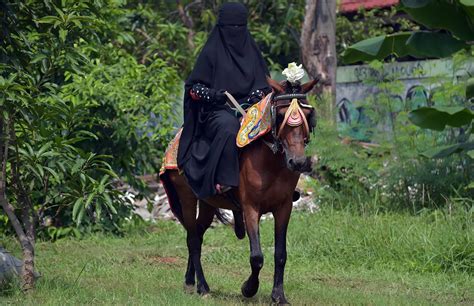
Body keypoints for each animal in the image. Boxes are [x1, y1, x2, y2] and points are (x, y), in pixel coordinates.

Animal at [160, 78, 318, 304]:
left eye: (307, 114)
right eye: (280, 115)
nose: (297, 162)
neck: (270, 162)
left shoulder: (284, 207)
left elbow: (280, 254)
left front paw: (279, 296)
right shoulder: (250, 207)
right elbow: (257, 256)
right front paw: (248, 288)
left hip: (207, 202)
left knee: (197, 233)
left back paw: (190, 282)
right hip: (187, 196)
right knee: (192, 239)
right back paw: (202, 286)